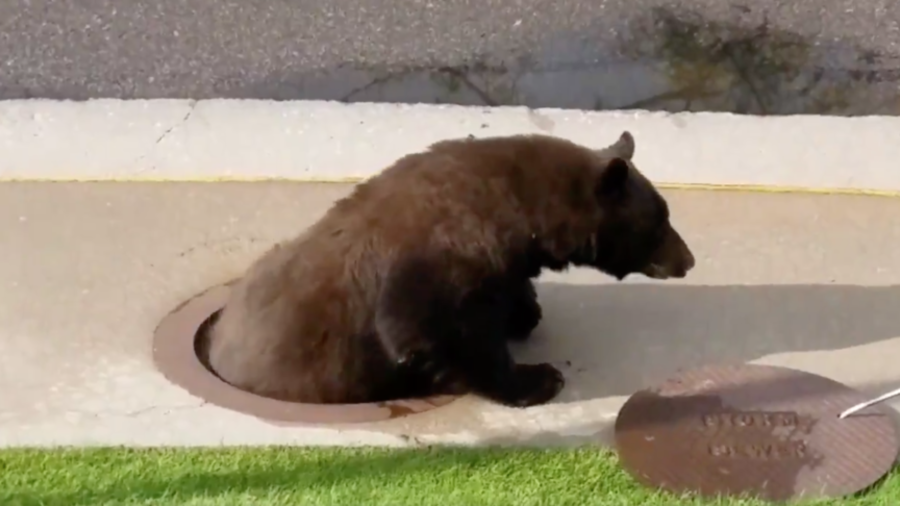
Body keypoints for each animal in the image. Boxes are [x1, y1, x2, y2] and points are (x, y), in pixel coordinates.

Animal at [206, 130, 696, 408]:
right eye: (661, 220)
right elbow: (439, 332)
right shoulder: (442, 259)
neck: (519, 212)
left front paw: (525, 311)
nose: (688, 260)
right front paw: (538, 378)